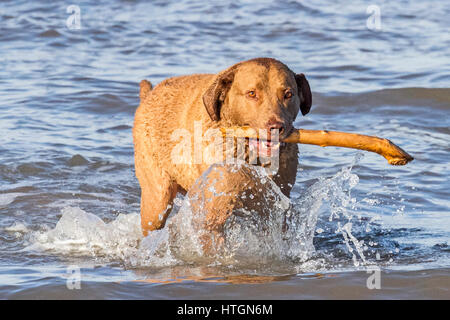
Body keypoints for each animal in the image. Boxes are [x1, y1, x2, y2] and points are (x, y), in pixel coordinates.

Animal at [132, 58, 312, 238]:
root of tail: (149, 94)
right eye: (251, 93)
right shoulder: (215, 208)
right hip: (156, 197)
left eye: (288, 94)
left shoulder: (276, 202)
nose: (276, 127)